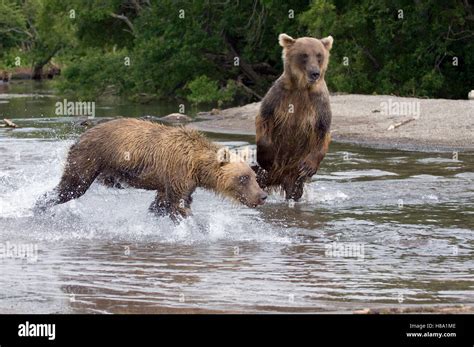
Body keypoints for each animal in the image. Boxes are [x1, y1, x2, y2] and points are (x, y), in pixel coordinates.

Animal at [34, 119, 266, 223]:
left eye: (254, 176)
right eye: (243, 178)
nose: (262, 195)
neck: (197, 165)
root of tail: (81, 135)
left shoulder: (174, 182)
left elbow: (161, 204)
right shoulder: (178, 174)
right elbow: (178, 205)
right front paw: (199, 226)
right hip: (89, 158)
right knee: (71, 187)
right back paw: (40, 207)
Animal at [256, 33, 334, 201]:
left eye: (319, 55)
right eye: (304, 55)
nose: (315, 73)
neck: (302, 87)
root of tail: (276, 178)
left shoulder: (319, 104)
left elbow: (323, 131)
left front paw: (308, 167)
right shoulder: (279, 97)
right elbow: (264, 119)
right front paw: (267, 158)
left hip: (292, 176)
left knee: (295, 190)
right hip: (261, 174)